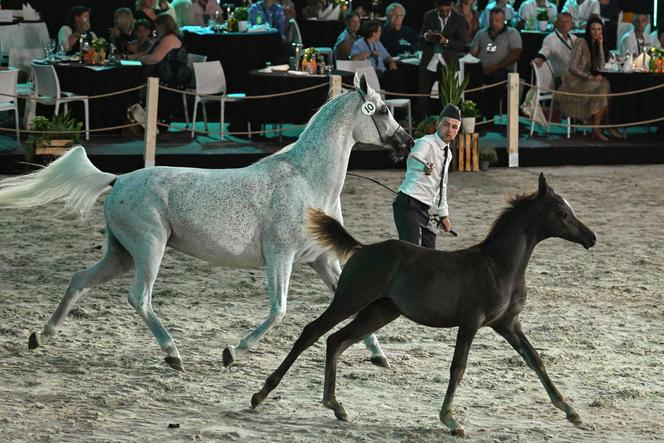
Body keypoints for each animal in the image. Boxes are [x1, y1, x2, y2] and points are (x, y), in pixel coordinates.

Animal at [253, 173, 596, 438]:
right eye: (562, 212)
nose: (591, 237)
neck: (499, 266)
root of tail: (363, 249)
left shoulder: (507, 323)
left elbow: (535, 359)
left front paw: (571, 411)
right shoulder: (471, 321)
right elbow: (458, 367)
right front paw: (450, 421)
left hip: (380, 311)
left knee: (336, 341)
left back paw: (336, 406)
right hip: (350, 299)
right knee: (312, 332)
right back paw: (261, 395)